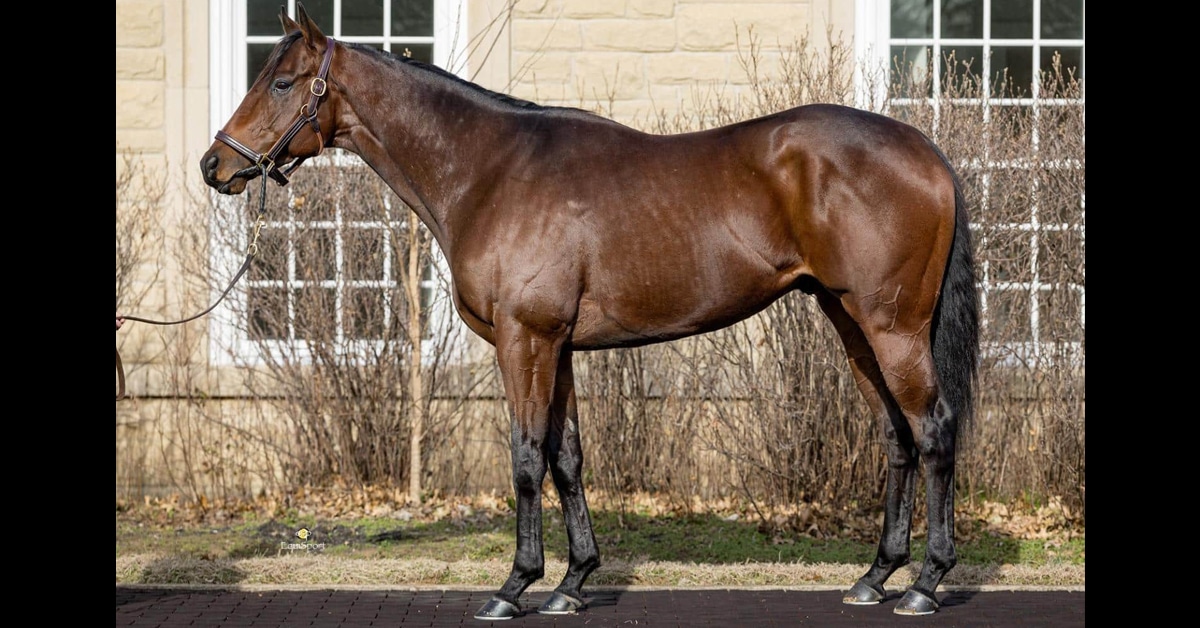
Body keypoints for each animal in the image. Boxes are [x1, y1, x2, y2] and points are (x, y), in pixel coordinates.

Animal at [201, 4, 979, 619]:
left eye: (279, 82)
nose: (215, 165)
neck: (492, 172)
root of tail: (928, 152)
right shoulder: (560, 346)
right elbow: (566, 457)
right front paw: (571, 583)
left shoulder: (525, 340)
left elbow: (524, 457)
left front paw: (514, 586)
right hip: (850, 323)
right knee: (897, 436)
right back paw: (876, 577)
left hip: (893, 328)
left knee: (934, 429)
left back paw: (926, 583)